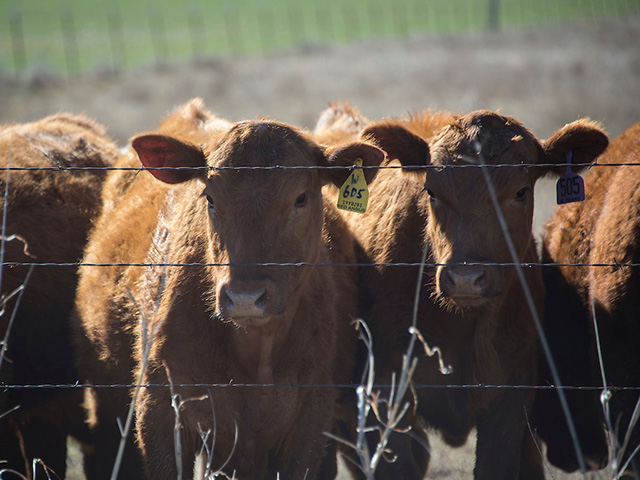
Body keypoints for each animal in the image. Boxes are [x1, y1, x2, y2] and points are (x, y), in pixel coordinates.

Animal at [72, 98, 385, 479]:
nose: (245, 298)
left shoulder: (310, 428)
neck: (256, 356)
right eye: (209, 197)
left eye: (301, 198)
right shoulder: (160, 412)